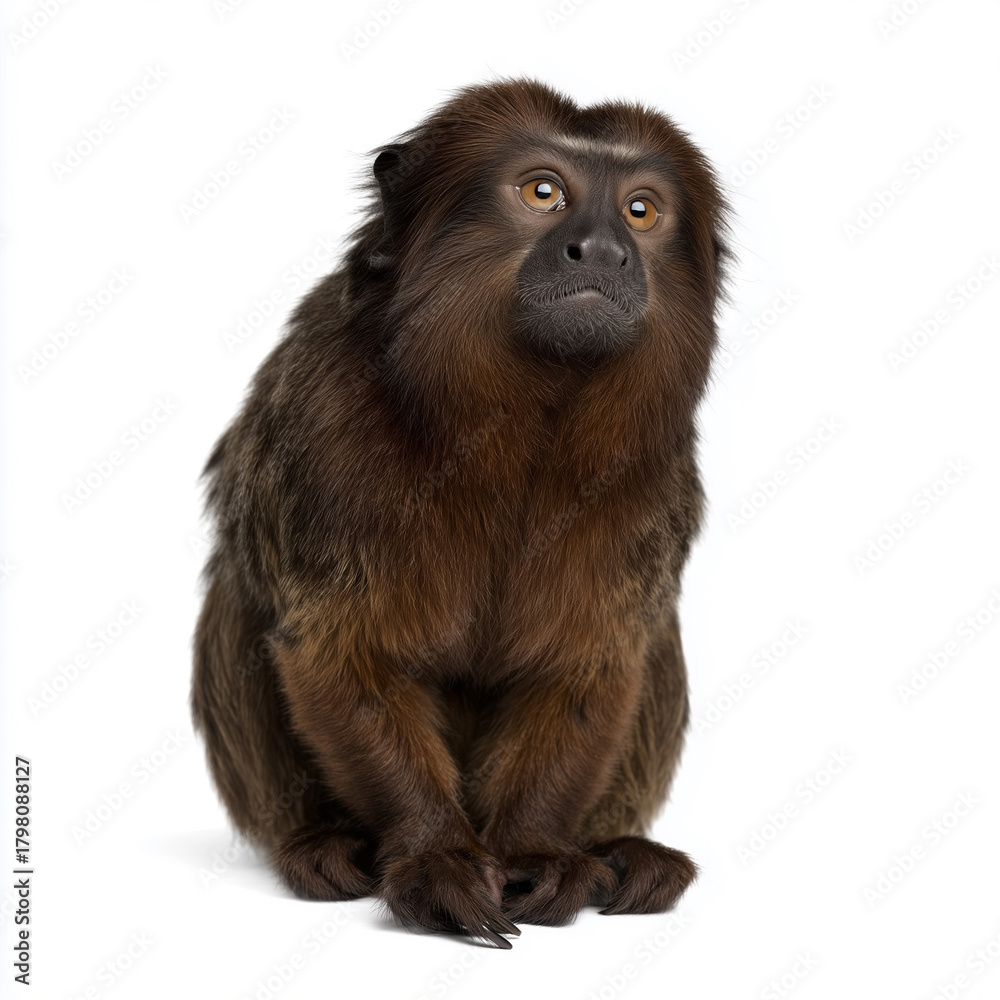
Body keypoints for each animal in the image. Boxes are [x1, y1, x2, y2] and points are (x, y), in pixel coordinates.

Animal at [191, 78, 729, 949]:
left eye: (641, 209)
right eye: (543, 193)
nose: (604, 251)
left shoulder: (657, 473)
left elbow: (590, 661)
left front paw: (537, 852)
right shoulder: (324, 420)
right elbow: (338, 651)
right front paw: (435, 857)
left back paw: (621, 850)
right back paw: (318, 844)